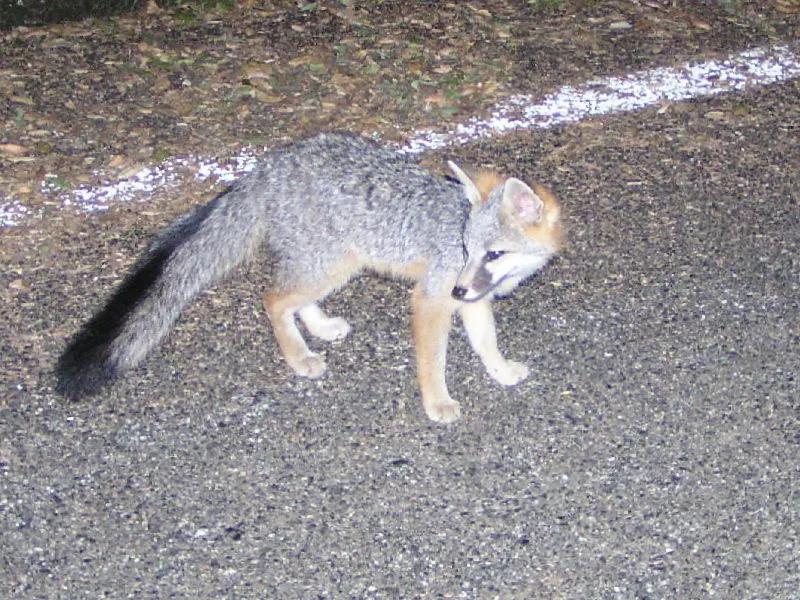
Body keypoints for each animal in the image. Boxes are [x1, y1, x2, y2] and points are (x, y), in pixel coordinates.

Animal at [55, 132, 563, 423]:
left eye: (491, 253)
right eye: (464, 248)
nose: (460, 285)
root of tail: (266, 166)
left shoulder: (472, 299)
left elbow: (487, 341)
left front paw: (500, 371)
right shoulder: (433, 297)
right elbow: (432, 360)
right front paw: (436, 402)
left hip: (331, 264)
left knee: (292, 298)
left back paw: (318, 327)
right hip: (333, 263)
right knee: (273, 298)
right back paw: (299, 357)